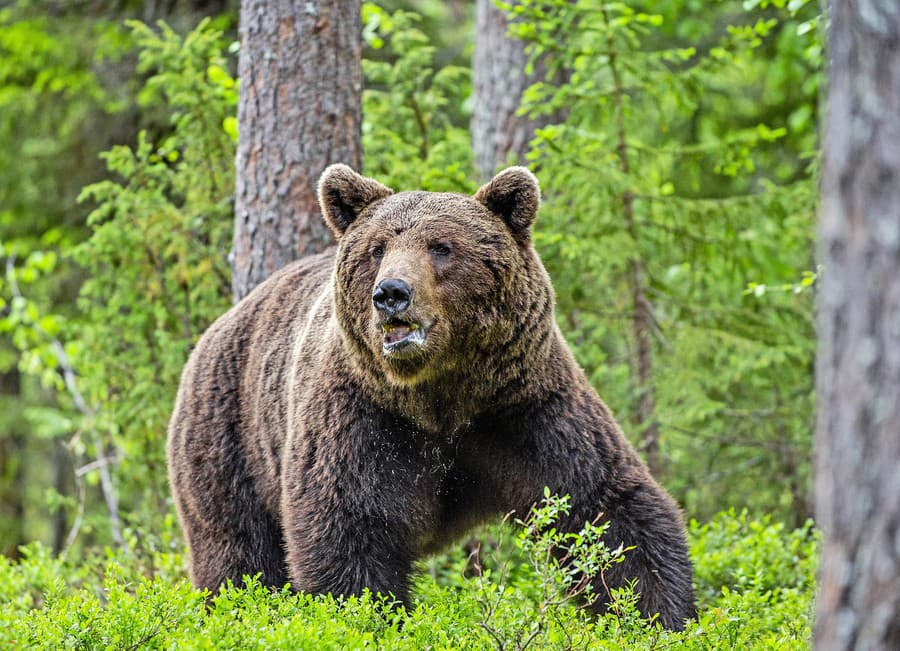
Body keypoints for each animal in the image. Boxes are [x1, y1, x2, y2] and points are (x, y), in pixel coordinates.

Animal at [169, 166, 696, 628]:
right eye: (377, 248)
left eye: (442, 247)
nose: (391, 293)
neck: (440, 395)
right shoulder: (361, 418)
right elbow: (348, 535)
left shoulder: (526, 407)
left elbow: (604, 510)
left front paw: (662, 617)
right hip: (229, 442)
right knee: (239, 558)